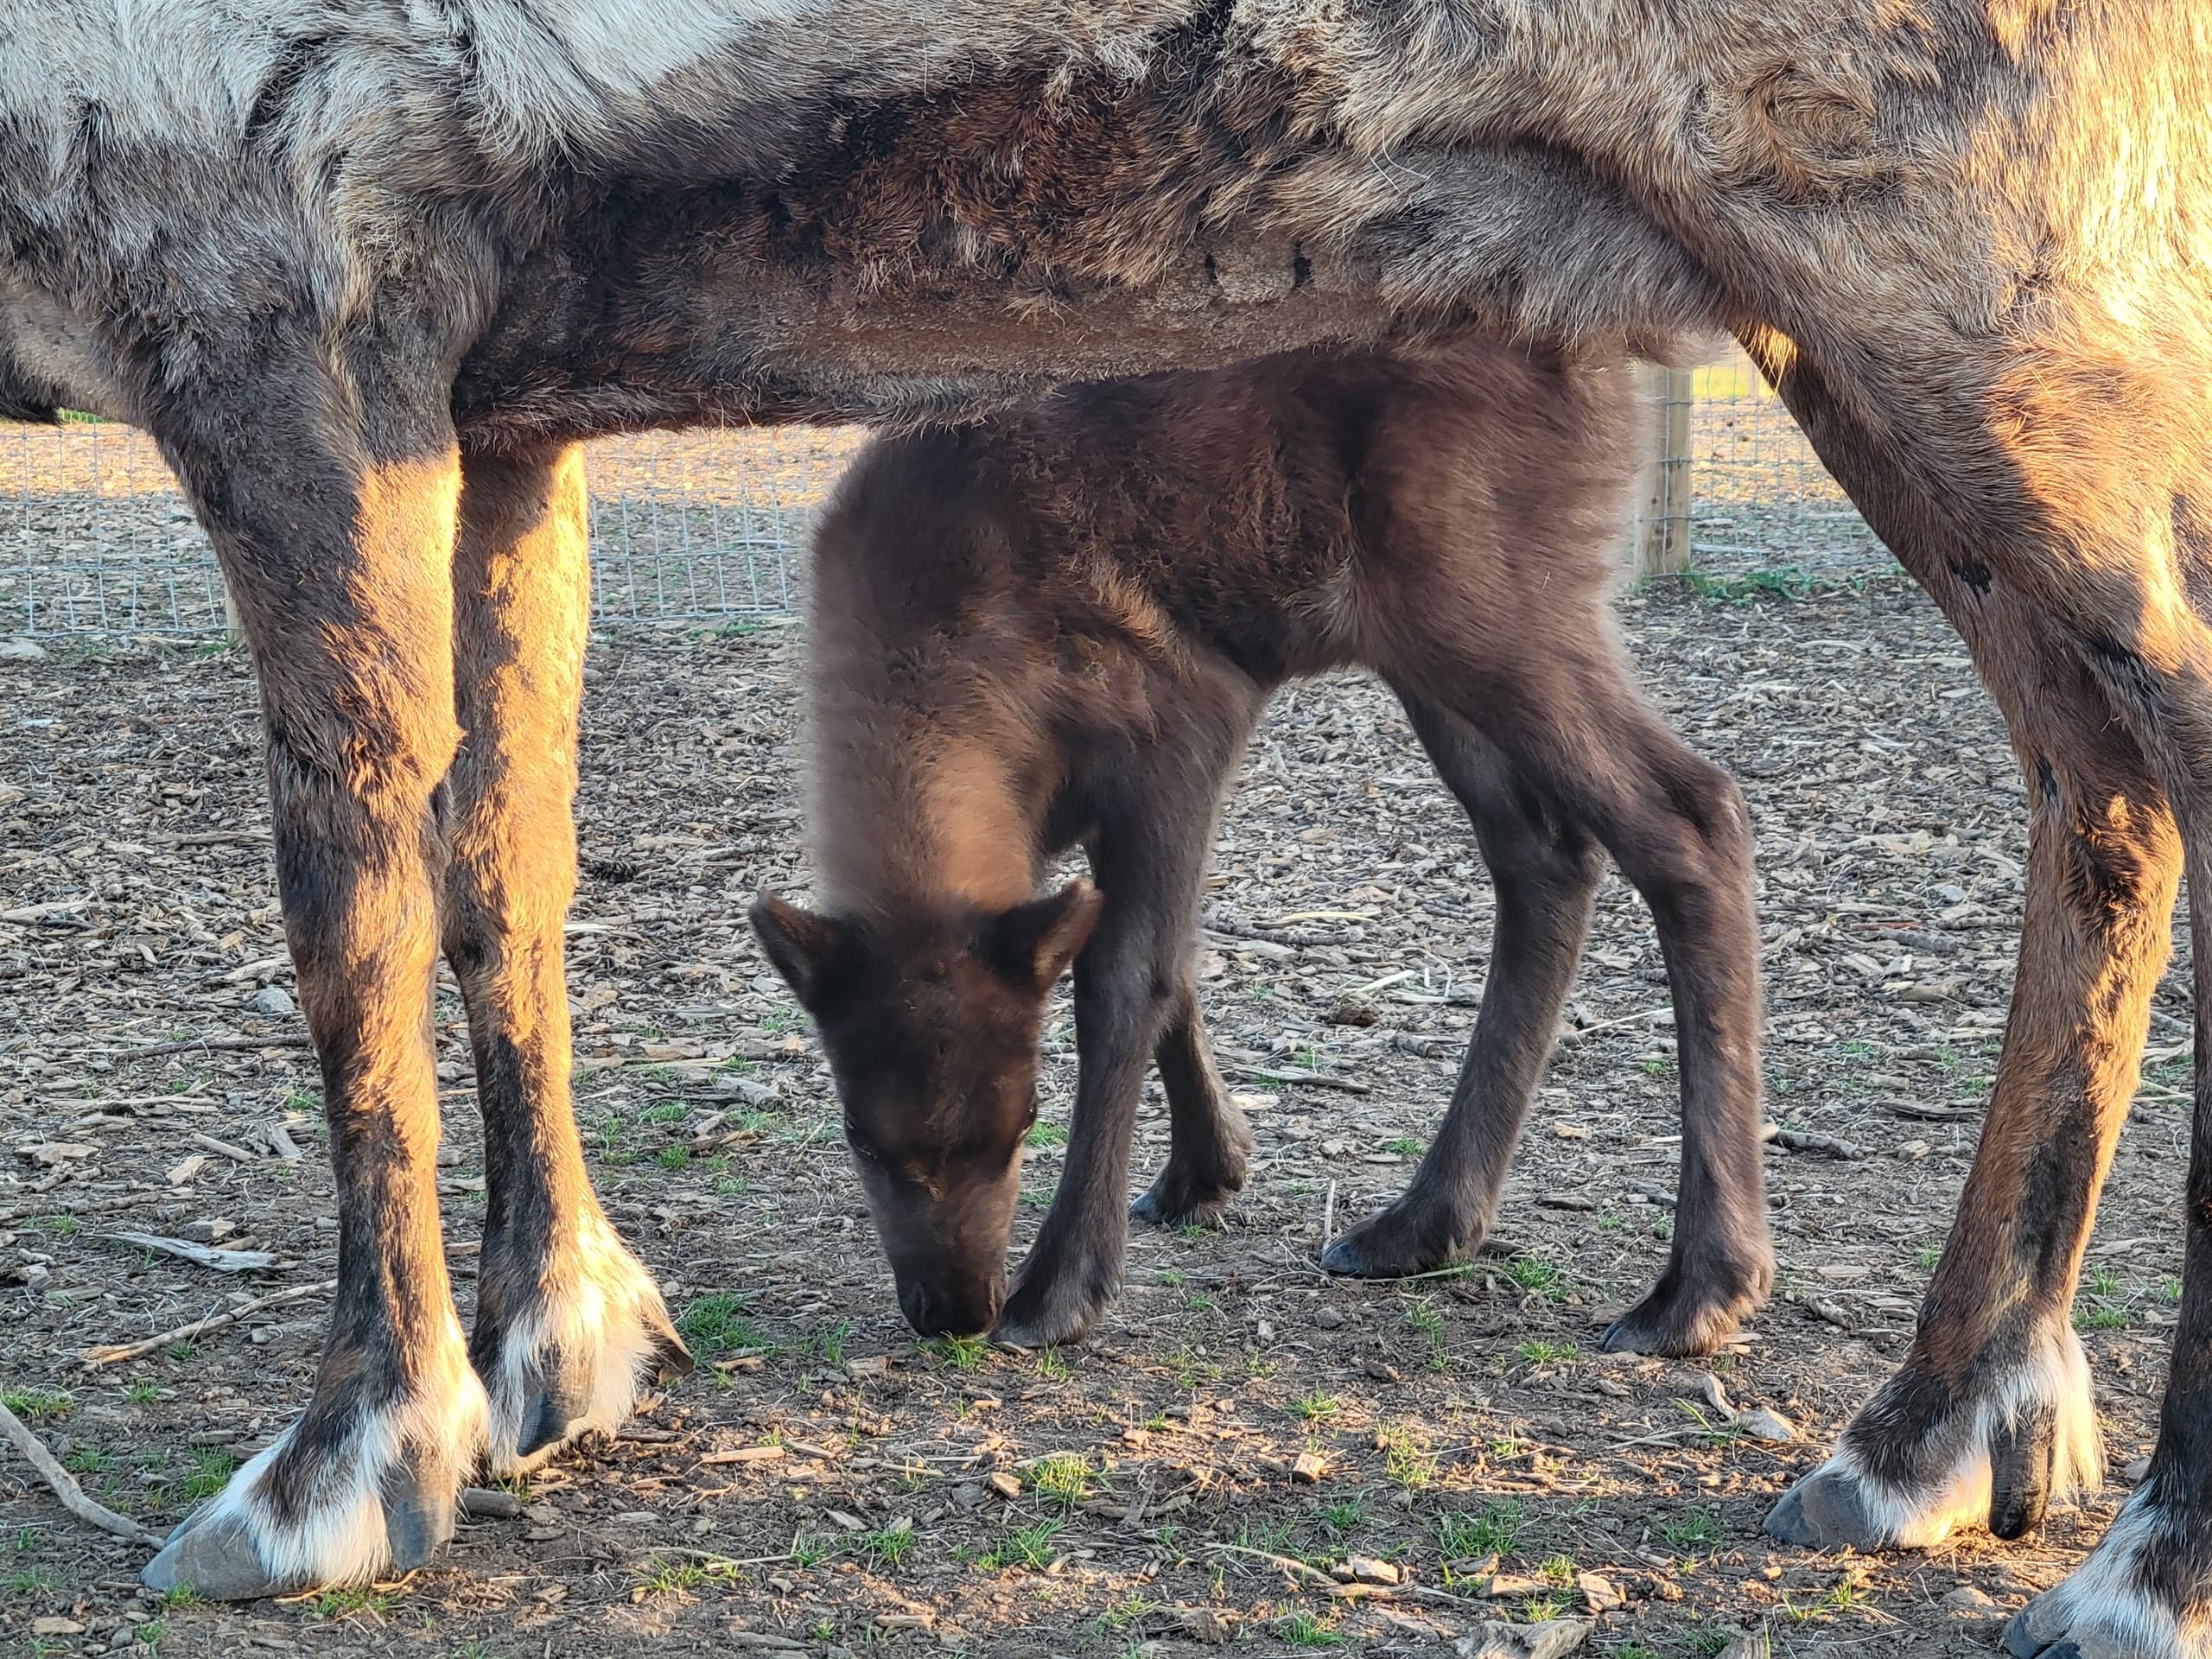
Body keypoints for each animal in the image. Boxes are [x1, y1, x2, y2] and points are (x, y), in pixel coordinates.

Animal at [748, 337, 1772, 1359]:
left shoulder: (1183, 720)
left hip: (1493, 606)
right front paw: (1206, 1169)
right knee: (1545, 854)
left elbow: (1130, 980)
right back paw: (1424, 1222)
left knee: (1691, 816)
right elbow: (1178, 963)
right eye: (858, 1134)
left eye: (1026, 1117)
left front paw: (1063, 1284)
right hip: (1429, 650)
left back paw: (1698, 1284)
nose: (955, 1309)